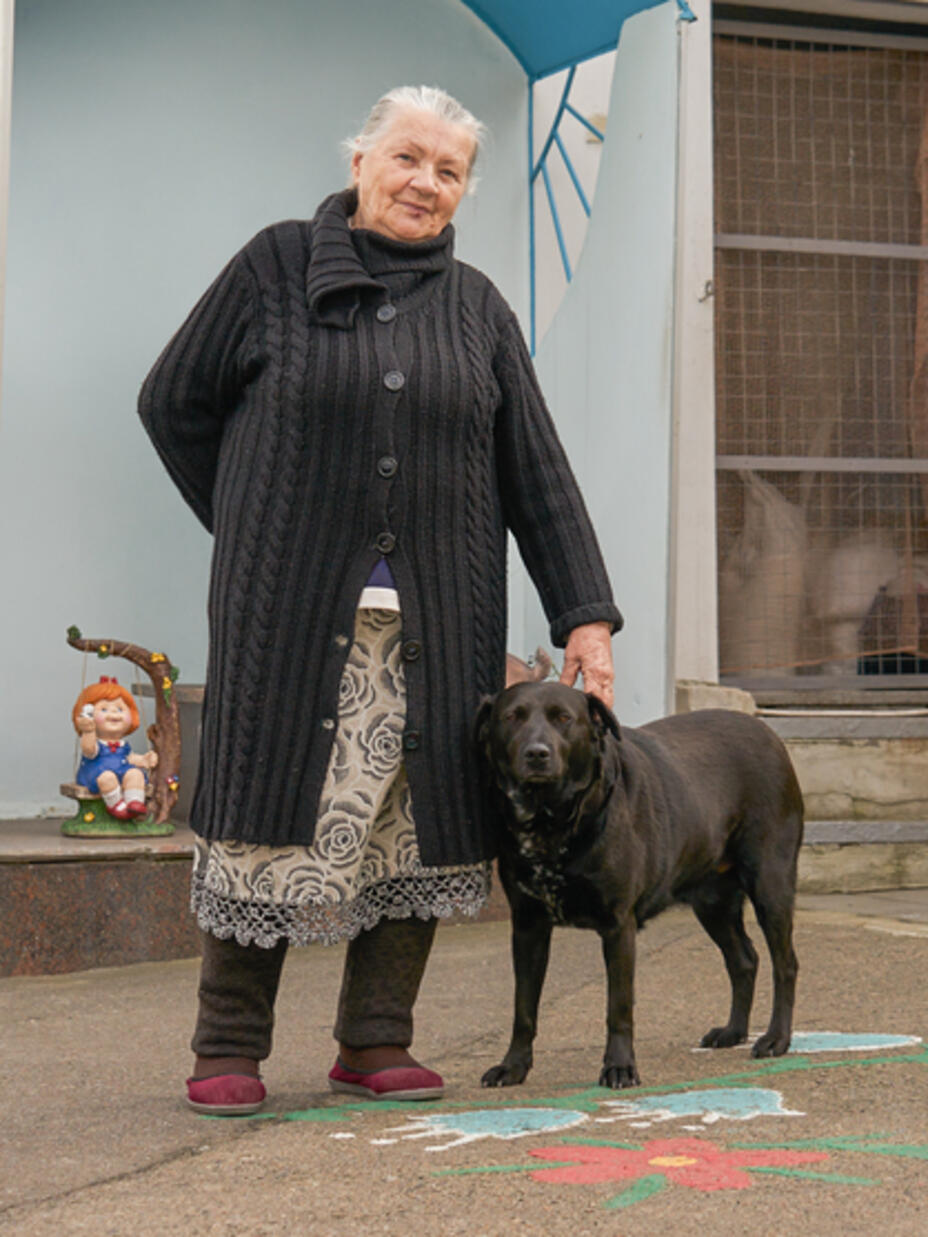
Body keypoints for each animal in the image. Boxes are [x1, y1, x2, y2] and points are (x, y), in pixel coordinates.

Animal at [475, 687, 801, 1093]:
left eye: (563, 718)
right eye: (511, 717)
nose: (537, 753)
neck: (552, 823)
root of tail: (767, 732)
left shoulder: (619, 926)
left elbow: (619, 1007)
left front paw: (619, 1067)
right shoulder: (527, 927)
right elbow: (523, 1007)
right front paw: (514, 1066)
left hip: (771, 885)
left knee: (785, 964)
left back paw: (777, 1038)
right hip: (713, 903)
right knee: (744, 959)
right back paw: (733, 1032)